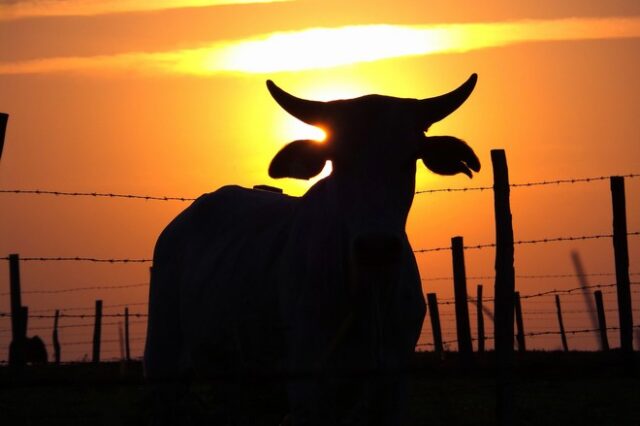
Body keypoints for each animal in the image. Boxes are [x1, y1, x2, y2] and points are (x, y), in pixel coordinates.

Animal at [142, 75, 478, 424]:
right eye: (337, 159)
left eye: (409, 158)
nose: (377, 248)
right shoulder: (309, 387)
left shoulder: (393, 386)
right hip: (163, 364)